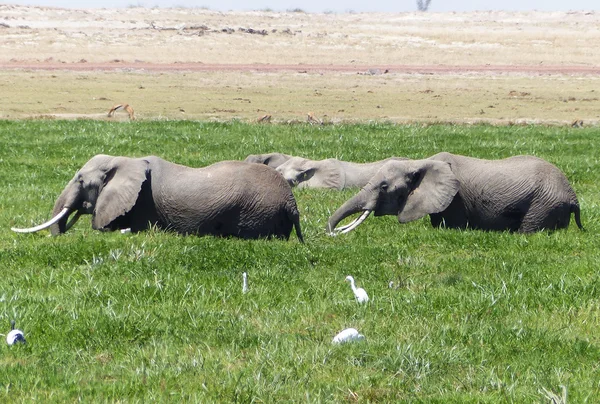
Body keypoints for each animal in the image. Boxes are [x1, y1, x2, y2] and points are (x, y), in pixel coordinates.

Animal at [12, 155, 304, 241]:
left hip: (254, 211)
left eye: (81, 181)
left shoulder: (141, 203)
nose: (60, 236)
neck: (125, 160)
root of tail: (291, 202)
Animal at [326, 152, 584, 234]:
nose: (329, 233)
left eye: (383, 186)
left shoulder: (456, 200)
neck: (420, 162)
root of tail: (573, 197)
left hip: (543, 203)